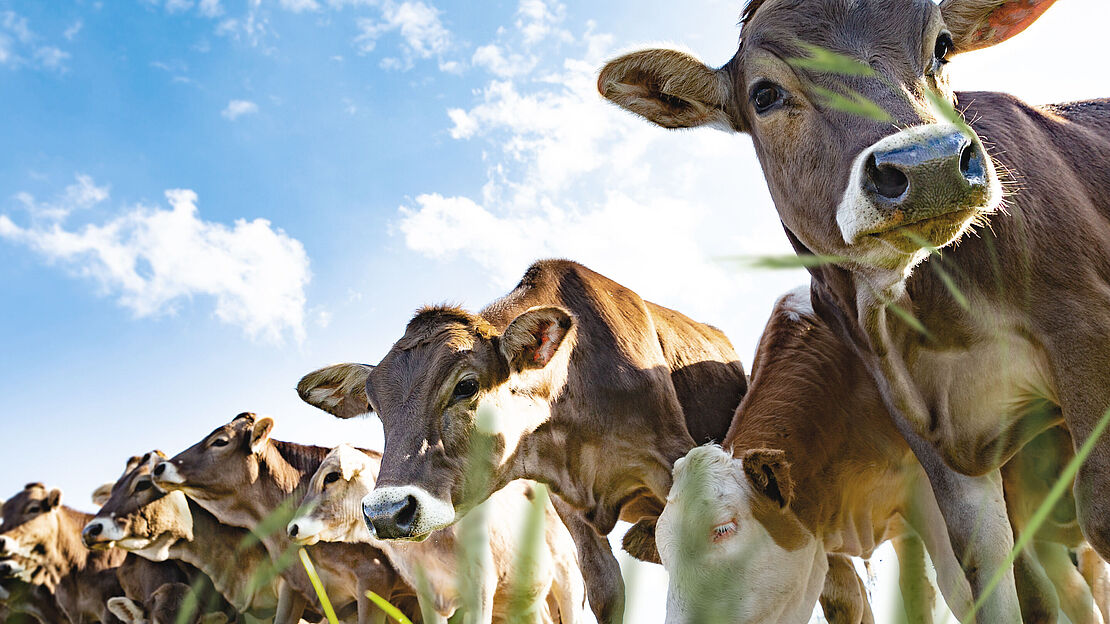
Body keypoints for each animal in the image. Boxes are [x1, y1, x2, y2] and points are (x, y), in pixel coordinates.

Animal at [293, 256, 745, 617]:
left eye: (466, 385)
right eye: (376, 406)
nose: (387, 511)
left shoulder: (674, 463)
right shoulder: (568, 506)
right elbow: (606, 592)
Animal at [599, 0, 1110, 612]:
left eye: (941, 48)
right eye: (764, 94)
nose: (929, 165)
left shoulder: (1083, 334)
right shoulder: (926, 435)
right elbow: (985, 570)